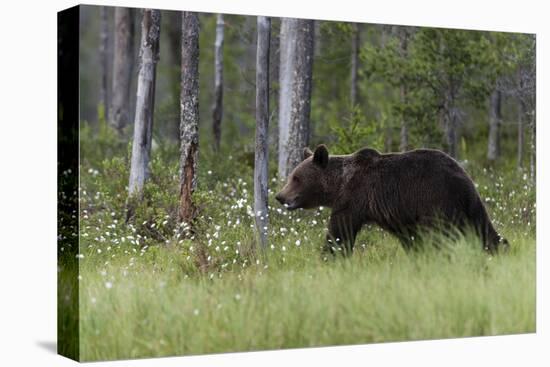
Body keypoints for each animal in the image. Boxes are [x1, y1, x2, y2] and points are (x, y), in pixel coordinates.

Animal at [276, 145, 508, 254]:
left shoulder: (353, 199)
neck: (339, 184)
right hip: (462, 205)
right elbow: (410, 238)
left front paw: (330, 254)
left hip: (438, 200)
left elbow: (339, 231)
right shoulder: (400, 214)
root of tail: (465, 179)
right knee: (481, 227)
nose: (279, 196)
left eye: (296, 178)